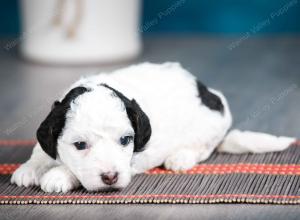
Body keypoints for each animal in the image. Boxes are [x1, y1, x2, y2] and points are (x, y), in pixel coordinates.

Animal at [9, 62, 296, 192]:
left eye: (125, 140)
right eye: (80, 145)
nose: (110, 177)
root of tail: (209, 93)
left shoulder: (133, 160)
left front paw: (58, 175)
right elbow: (41, 150)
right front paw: (30, 168)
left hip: (209, 127)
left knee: (204, 148)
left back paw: (180, 157)